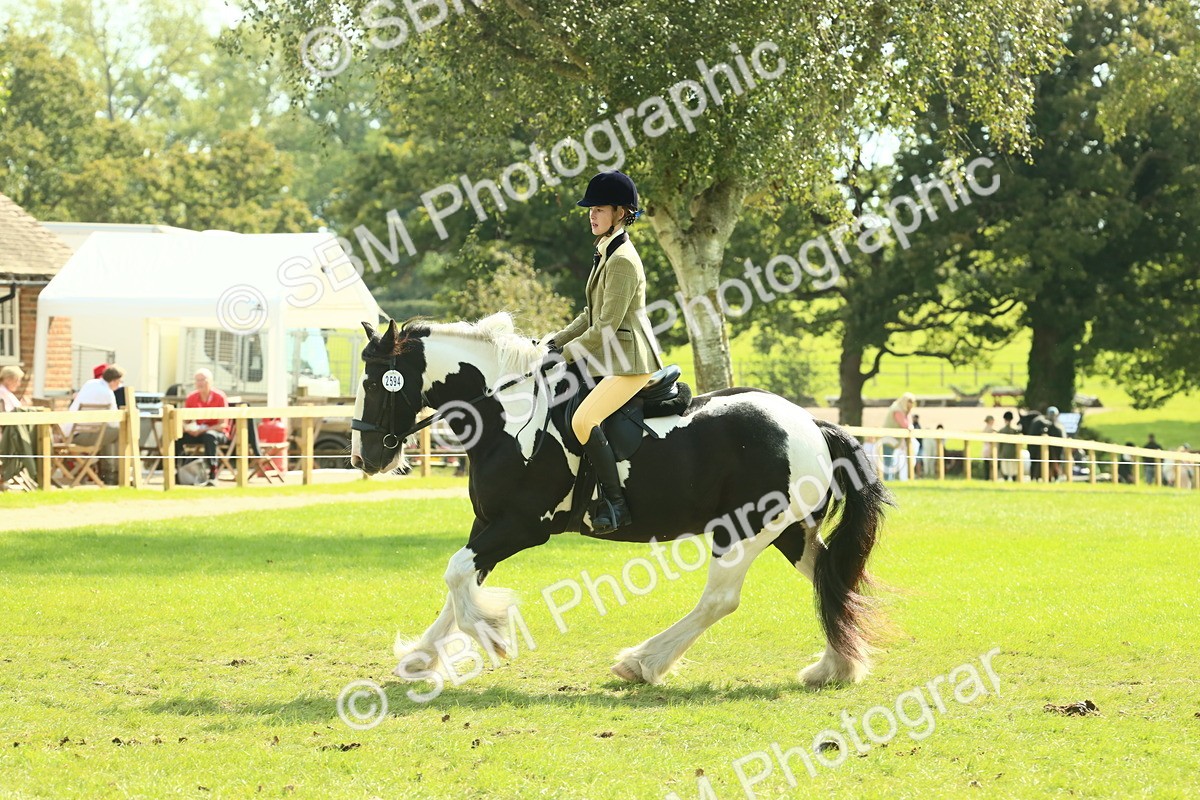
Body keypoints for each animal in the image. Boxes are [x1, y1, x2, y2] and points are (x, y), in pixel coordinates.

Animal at [351, 313, 891, 686]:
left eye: (375, 382)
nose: (364, 457)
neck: (507, 414)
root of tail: (811, 423)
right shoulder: (487, 523)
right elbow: (459, 581)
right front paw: (419, 660)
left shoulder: (522, 526)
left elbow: (458, 575)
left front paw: (492, 633)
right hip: (789, 530)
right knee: (829, 576)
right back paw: (836, 667)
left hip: (743, 530)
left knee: (720, 599)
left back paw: (642, 663)